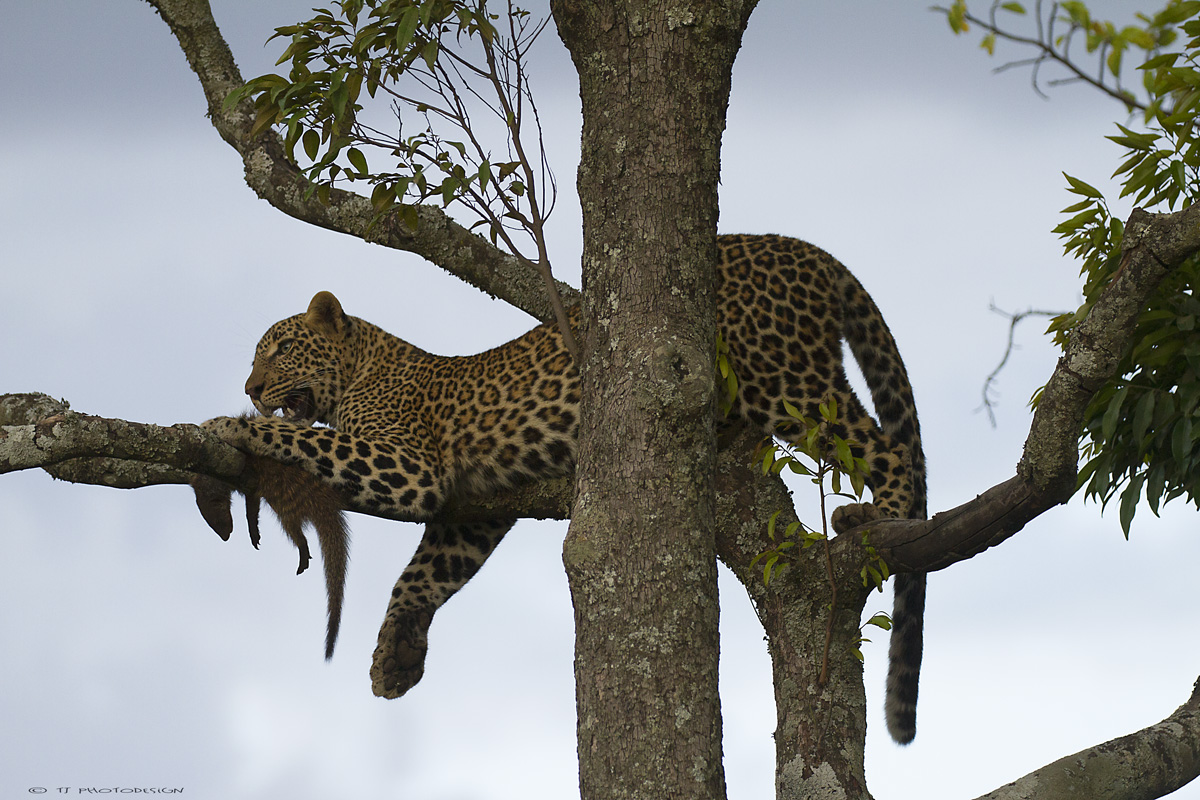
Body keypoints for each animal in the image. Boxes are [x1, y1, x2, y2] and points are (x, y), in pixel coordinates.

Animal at [199, 231, 926, 743]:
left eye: (281, 348)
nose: (251, 388)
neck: (361, 366)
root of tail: (803, 247)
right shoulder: (469, 512)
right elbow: (422, 576)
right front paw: (394, 658)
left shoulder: (408, 466)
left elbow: (305, 440)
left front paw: (228, 425)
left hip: (791, 382)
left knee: (887, 447)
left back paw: (880, 521)